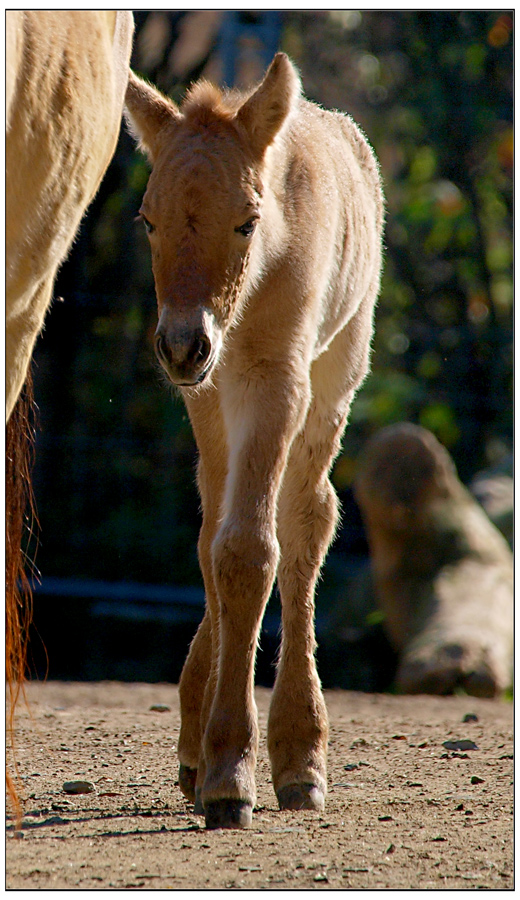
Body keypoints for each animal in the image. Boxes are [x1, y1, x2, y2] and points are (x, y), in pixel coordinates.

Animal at [126, 52, 386, 828]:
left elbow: (252, 550)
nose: (183, 345)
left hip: (337, 374)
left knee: (308, 519)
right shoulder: (208, 395)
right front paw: (209, 755)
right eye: (147, 221)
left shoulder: (277, 380)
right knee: (218, 524)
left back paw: (301, 757)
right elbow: (216, 545)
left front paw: (234, 775)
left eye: (246, 222)